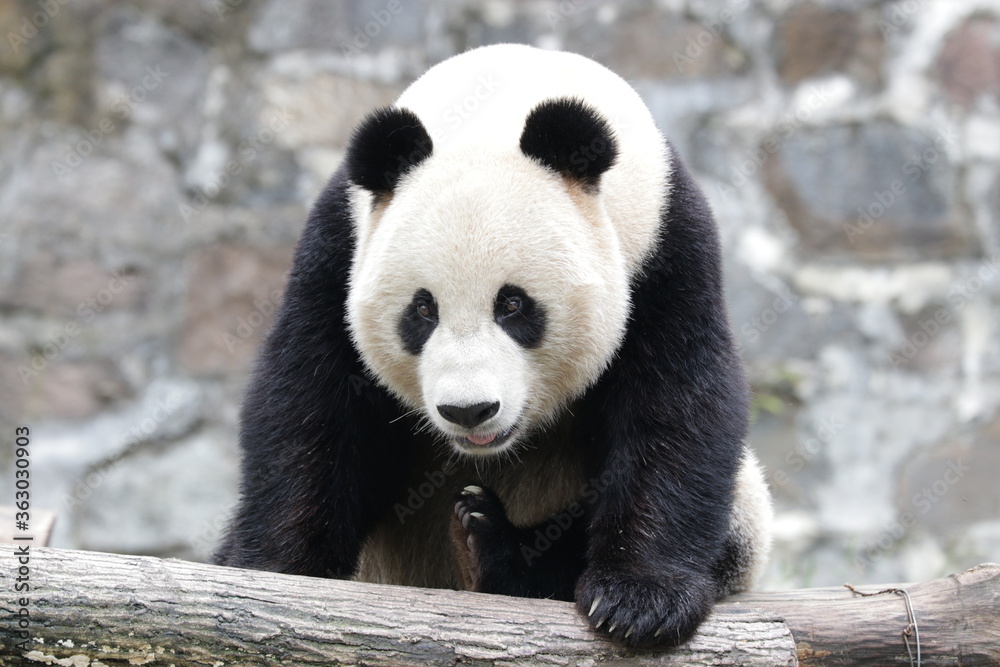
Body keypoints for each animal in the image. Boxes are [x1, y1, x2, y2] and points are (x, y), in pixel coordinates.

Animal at [215, 43, 772, 648]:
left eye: (513, 305)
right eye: (422, 310)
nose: (470, 410)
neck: (499, 102)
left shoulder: (664, 247)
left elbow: (676, 406)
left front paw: (638, 599)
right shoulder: (340, 247)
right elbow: (311, 405)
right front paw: (274, 570)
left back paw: (493, 548)